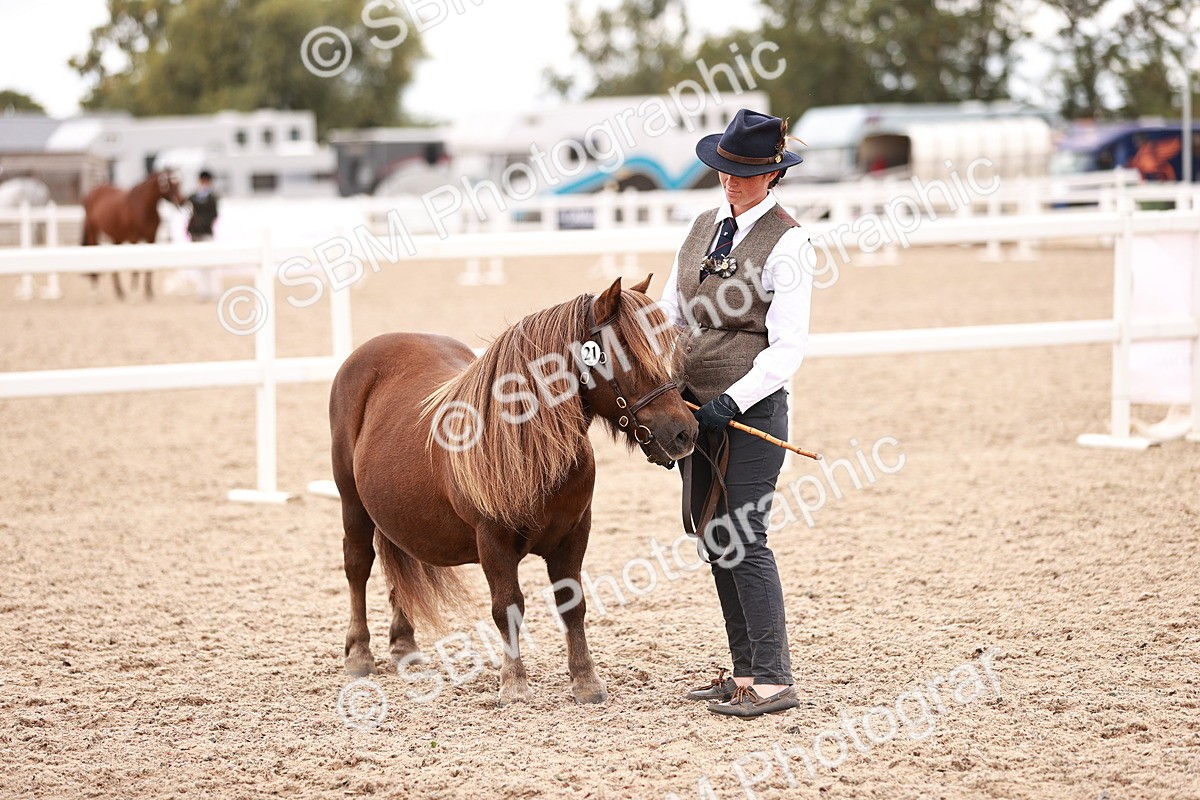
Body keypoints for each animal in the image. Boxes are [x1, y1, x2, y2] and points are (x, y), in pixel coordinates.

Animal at [81, 170, 184, 300]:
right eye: (169, 184)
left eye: (179, 182)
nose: (182, 200)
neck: (144, 207)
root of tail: (93, 191)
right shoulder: (133, 238)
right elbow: (135, 267)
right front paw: (134, 291)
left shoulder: (151, 238)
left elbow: (149, 266)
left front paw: (149, 292)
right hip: (93, 231)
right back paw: (96, 292)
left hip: (117, 237)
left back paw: (120, 292)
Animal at [329, 275, 697, 705]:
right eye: (625, 354)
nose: (685, 432)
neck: (528, 446)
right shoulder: (493, 543)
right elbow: (508, 607)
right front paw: (514, 683)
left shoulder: (574, 535)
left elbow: (572, 604)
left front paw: (585, 681)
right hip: (351, 503)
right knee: (357, 565)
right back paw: (359, 654)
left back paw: (405, 645)